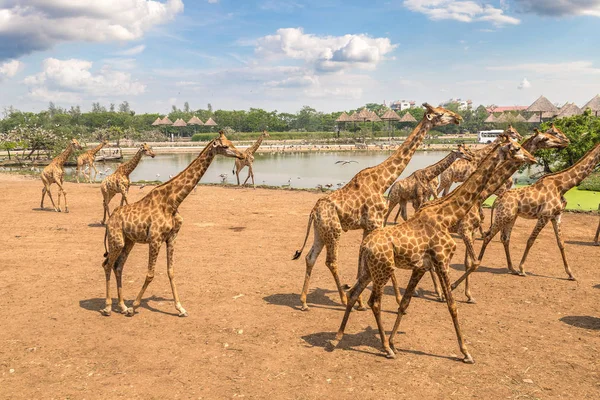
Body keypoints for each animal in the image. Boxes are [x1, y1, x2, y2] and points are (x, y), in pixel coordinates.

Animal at [101, 133, 244, 318]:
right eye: (225, 146)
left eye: (232, 143)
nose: (242, 155)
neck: (173, 201)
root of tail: (109, 221)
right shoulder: (155, 239)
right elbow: (150, 274)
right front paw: (135, 306)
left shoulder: (172, 237)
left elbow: (171, 271)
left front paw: (180, 308)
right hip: (116, 240)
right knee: (107, 265)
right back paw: (108, 307)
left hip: (128, 241)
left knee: (118, 267)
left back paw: (122, 306)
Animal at [292, 102, 462, 310]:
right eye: (439, 114)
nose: (458, 118)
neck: (382, 181)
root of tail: (313, 213)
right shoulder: (375, 222)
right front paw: (393, 299)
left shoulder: (368, 226)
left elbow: (362, 258)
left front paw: (359, 300)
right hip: (334, 231)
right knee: (331, 262)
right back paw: (342, 299)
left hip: (320, 231)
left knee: (310, 257)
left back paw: (303, 302)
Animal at [328, 138, 536, 362]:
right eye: (516, 148)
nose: (532, 158)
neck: (447, 215)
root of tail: (365, 246)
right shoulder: (442, 260)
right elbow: (452, 306)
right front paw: (466, 352)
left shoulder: (421, 266)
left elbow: (405, 303)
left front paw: (393, 340)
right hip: (383, 269)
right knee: (374, 301)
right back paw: (385, 348)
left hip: (369, 269)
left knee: (354, 293)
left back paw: (337, 338)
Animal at [452, 126, 568, 302]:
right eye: (547, 137)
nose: (565, 141)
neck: (481, 195)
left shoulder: (470, 229)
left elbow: (468, 261)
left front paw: (468, 295)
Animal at [480, 142, 600, 280]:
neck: (563, 186)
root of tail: (498, 199)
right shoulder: (544, 215)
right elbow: (530, 240)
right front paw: (522, 269)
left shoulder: (556, 216)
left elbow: (561, 243)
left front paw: (571, 274)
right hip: (502, 216)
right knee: (488, 236)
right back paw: (477, 263)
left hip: (511, 217)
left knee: (505, 238)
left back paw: (512, 269)